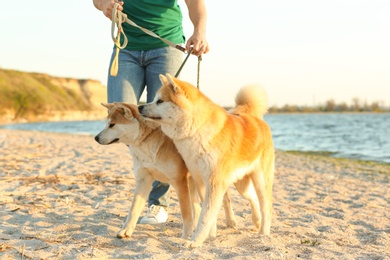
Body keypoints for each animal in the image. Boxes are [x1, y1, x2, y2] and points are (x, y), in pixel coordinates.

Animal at [95, 102, 238, 241]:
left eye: (112, 125)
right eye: (106, 124)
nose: (96, 138)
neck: (148, 141)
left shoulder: (179, 182)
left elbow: (186, 213)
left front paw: (185, 236)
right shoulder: (143, 181)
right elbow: (133, 210)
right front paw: (125, 231)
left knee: (224, 199)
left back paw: (229, 222)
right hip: (193, 181)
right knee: (197, 205)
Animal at [139, 74, 276, 247]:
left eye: (160, 101)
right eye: (155, 99)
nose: (140, 107)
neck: (197, 130)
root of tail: (255, 118)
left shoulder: (214, 182)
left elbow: (205, 215)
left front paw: (195, 241)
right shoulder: (199, 180)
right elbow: (207, 212)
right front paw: (210, 236)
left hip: (260, 181)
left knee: (266, 207)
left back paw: (263, 233)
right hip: (241, 184)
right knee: (253, 199)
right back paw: (256, 221)